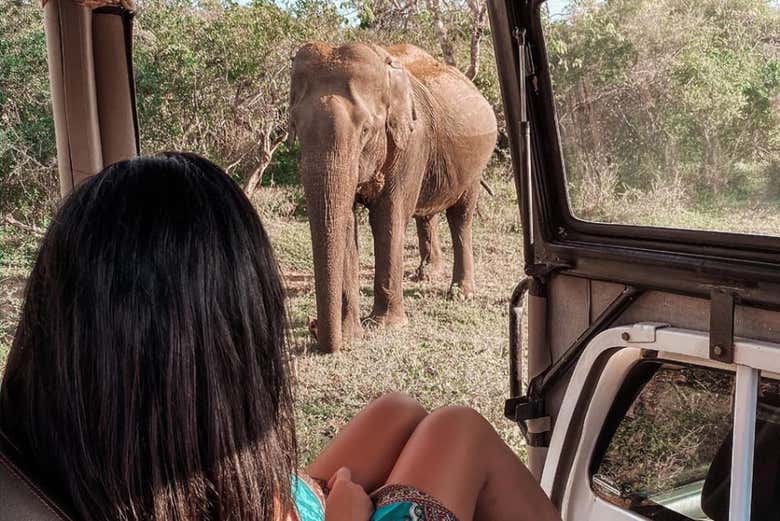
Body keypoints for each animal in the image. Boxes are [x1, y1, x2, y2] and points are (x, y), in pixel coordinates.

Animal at [290, 42, 496, 352]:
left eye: (365, 129)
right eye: (296, 128)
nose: (312, 326)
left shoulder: (412, 140)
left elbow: (388, 217)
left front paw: (385, 326)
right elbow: (346, 222)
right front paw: (351, 332)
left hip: (475, 161)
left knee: (460, 216)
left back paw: (460, 293)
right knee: (427, 214)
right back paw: (425, 275)